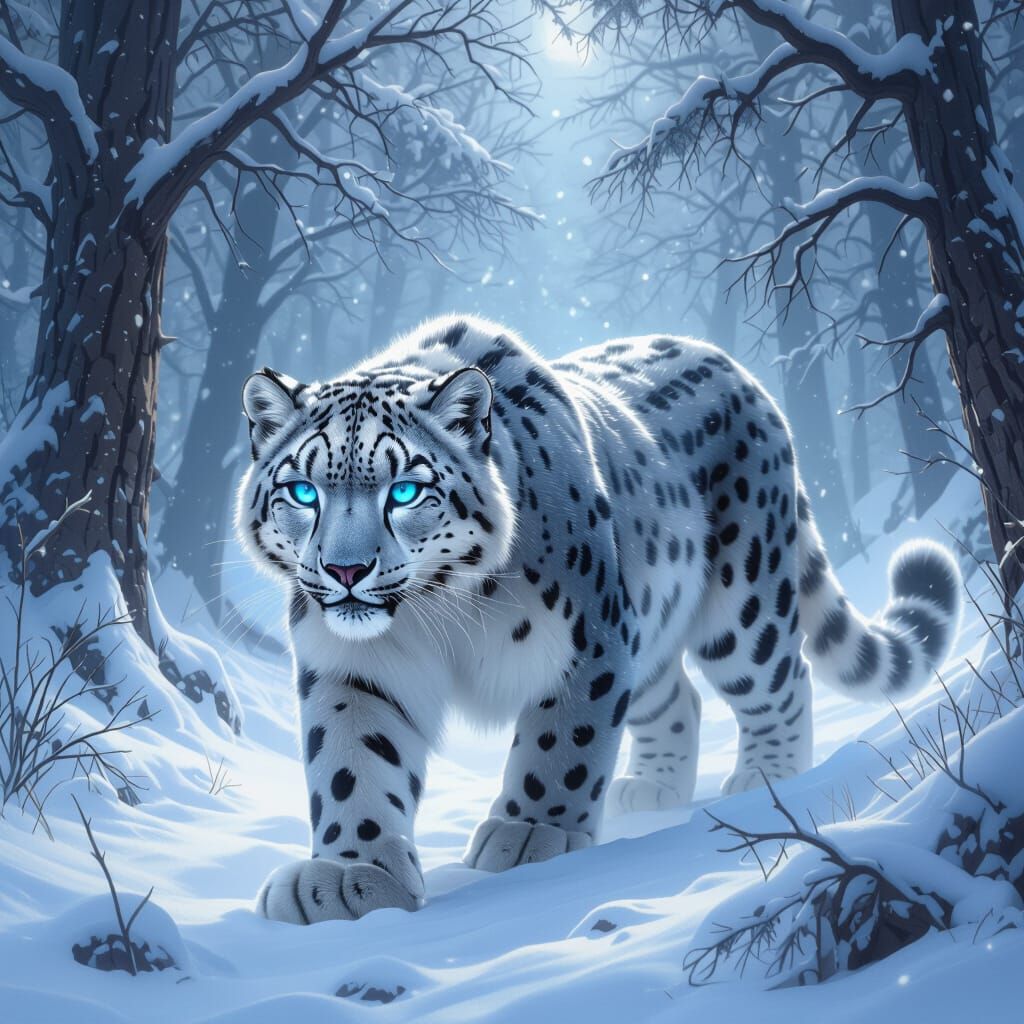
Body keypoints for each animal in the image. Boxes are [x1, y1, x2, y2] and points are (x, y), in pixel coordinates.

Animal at [236, 314, 961, 924]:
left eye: (406, 490)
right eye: (303, 492)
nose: (345, 571)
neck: (438, 610)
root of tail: (739, 370)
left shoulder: (587, 637)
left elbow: (565, 742)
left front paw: (535, 831)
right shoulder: (354, 669)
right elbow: (352, 760)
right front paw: (349, 875)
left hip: (743, 604)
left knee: (781, 679)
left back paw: (768, 780)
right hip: (651, 639)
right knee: (678, 700)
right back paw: (653, 789)